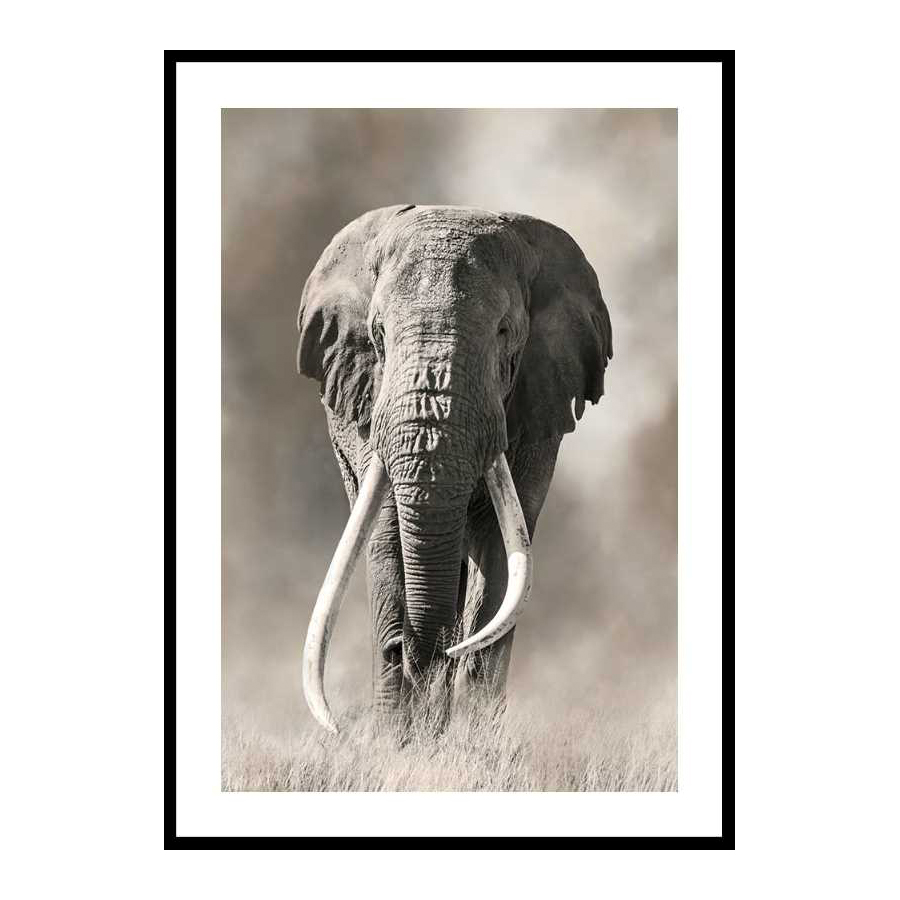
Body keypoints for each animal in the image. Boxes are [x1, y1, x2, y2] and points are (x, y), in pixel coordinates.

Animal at [297, 205, 612, 733]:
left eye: (504, 333)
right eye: (378, 335)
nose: (411, 651)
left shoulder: (536, 409)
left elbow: (504, 552)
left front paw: (471, 736)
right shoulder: (369, 408)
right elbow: (386, 537)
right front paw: (396, 738)